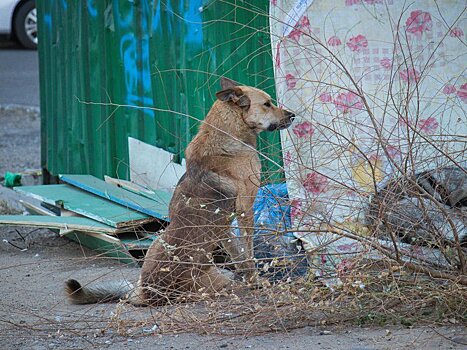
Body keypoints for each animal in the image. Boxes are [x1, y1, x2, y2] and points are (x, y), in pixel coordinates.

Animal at [64, 78, 294, 304]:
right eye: (267, 104)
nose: (293, 115)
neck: (227, 131)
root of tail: (147, 292)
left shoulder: (225, 227)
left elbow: (238, 254)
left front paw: (251, 279)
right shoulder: (246, 209)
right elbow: (248, 253)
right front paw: (256, 281)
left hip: (158, 242)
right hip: (219, 277)